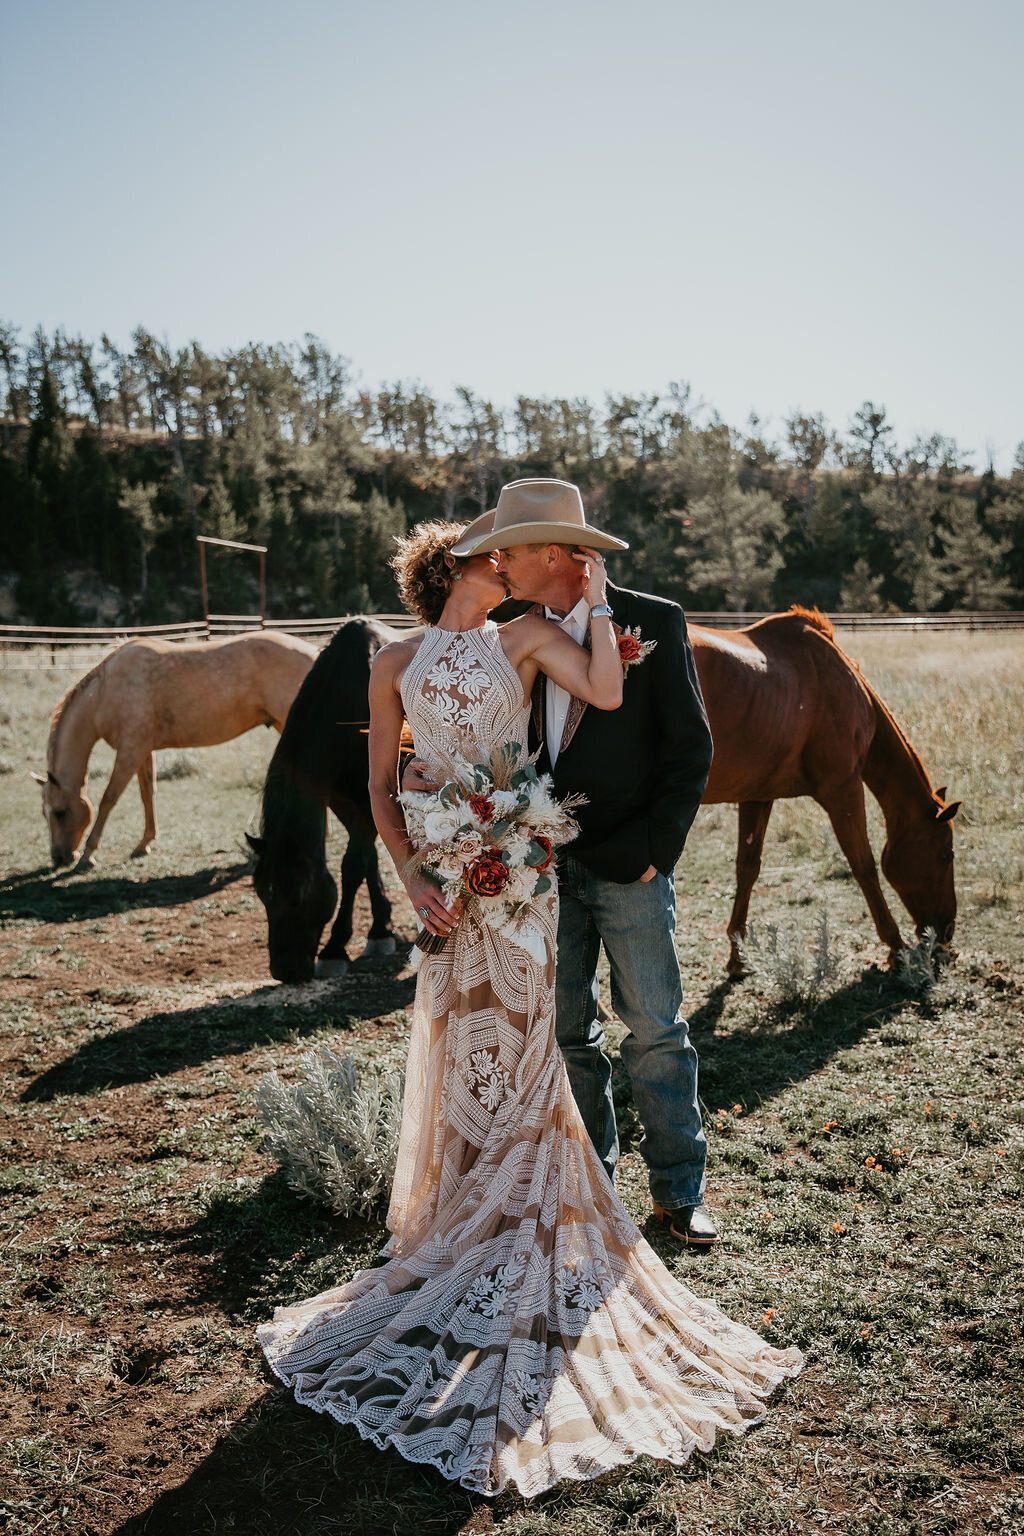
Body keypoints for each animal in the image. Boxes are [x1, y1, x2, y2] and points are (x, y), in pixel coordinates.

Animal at [36, 629, 316, 872]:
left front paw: (88, 855)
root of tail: (314, 652)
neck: (105, 692)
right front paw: (144, 844)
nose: (59, 858)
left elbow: (108, 799)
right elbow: (147, 794)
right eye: (44, 814)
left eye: (60, 812)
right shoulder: (143, 751)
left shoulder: (130, 752)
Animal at [248, 620, 405, 989]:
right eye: (261, 894)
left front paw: (335, 948)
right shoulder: (348, 805)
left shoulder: (368, 806)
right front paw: (381, 929)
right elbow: (369, 862)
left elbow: (352, 868)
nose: (285, 971)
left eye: (298, 896)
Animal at [693, 602, 964, 970]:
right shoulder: (843, 788)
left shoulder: (757, 796)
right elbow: (864, 865)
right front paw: (895, 946)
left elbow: (746, 868)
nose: (946, 932)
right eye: (945, 856)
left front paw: (737, 957)